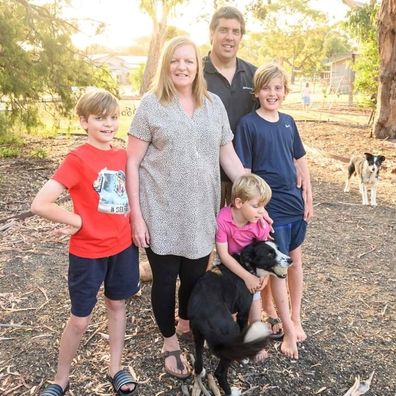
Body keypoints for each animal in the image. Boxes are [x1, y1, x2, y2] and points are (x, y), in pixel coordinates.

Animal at [187, 240, 292, 394]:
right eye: (269, 254)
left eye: (278, 249)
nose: (290, 260)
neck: (246, 266)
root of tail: (201, 314)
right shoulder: (243, 312)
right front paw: (244, 359)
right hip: (230, 335)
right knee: (220, 373)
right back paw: (232, 392)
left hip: (197, 334)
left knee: (198, 360)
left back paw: (200, 372)